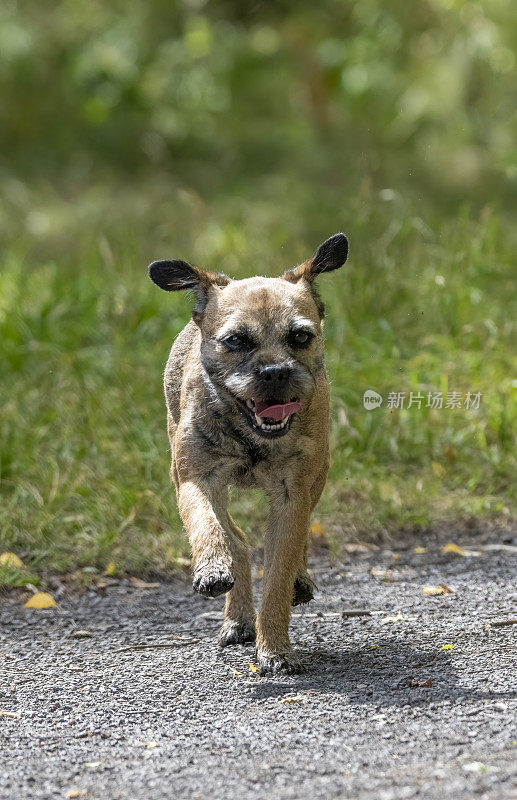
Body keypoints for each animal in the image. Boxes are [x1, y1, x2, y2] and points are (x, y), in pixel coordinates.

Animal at [150, 233, 350, 676]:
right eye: (236, 341)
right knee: (237, 539)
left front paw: (274, 648)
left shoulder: (294, 495)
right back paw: (236, 613)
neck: (251, 435)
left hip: (319, 474)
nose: (274, 372)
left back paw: (296, 582)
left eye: (300, 337)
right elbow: (207, 526)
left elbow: (278, 576)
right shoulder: (195, 479)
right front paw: (213, 567)